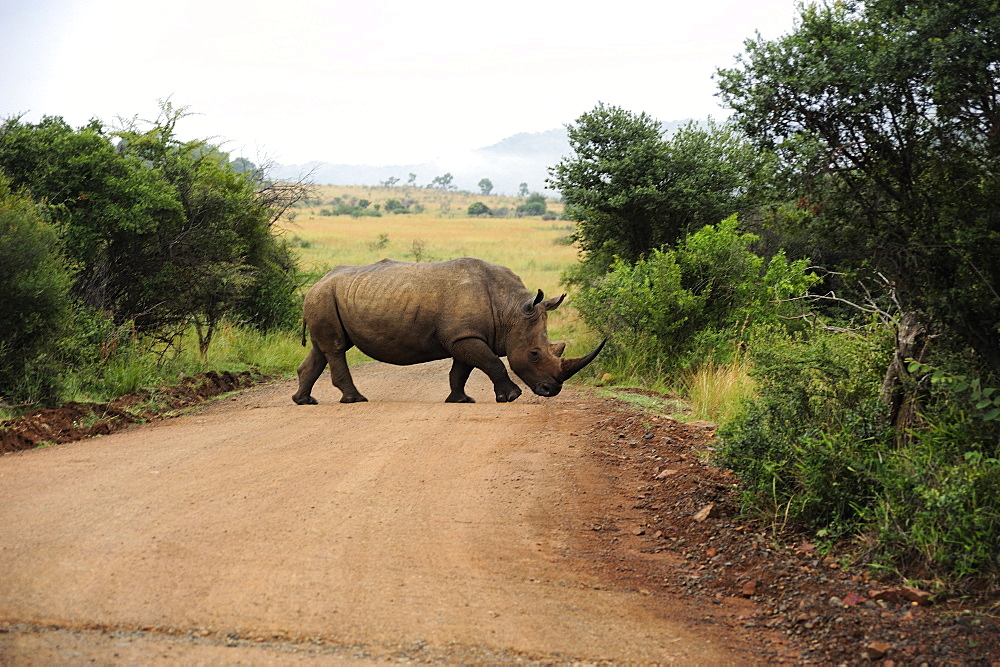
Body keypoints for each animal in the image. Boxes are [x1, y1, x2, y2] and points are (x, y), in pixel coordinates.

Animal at [290, 260, 600, 408]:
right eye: (534, 354)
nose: (552, 391)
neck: (511, 310)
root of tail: (318, 281)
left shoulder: (464, 335)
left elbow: (461, 370)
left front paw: (461, 400)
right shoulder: (464, 336)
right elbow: (493, 363)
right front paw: (511, 397)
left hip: (325, 297)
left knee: (322, 349)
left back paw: (304, 402)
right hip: (323, 296)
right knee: (335, 348)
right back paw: (356, 400)